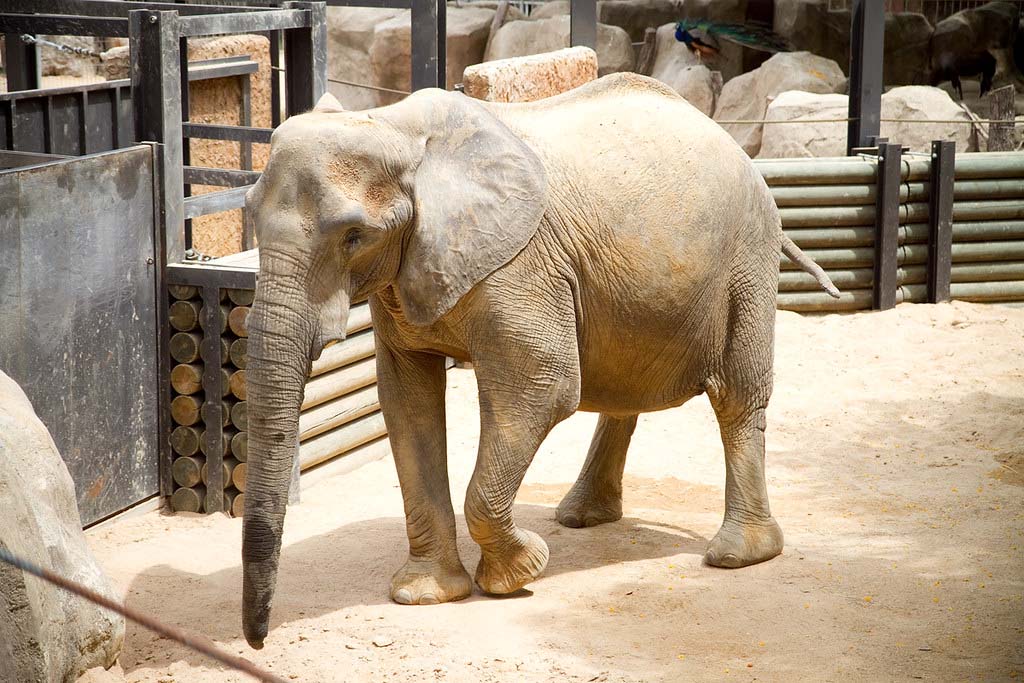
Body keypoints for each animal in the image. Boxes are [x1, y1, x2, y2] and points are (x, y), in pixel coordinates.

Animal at [241, 72, 839, 651]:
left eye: (353, 236)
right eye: (248, 216)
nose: (258, 643)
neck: (396, 129)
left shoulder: (521, 266)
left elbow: (541, 385)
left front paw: (520, 571)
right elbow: (406, 400)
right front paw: (426, 595)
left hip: (747, 257)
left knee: (736, 396)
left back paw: (738, 555)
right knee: (624, 388)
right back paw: (581, 518)